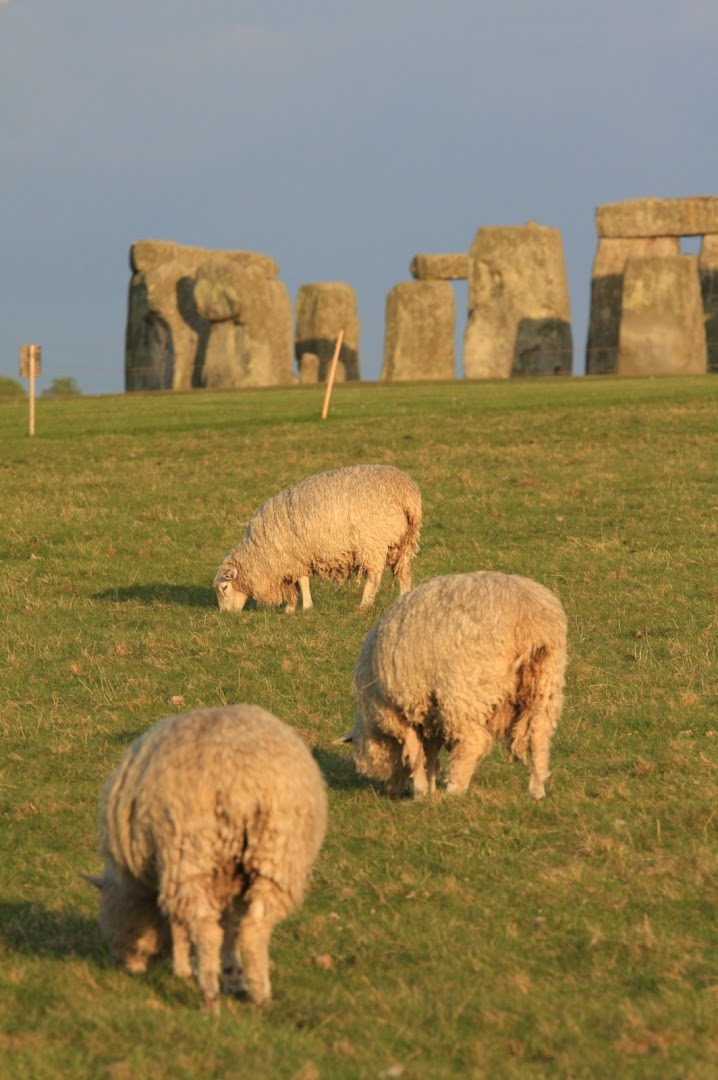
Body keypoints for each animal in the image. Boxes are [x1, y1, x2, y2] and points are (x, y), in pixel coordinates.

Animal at [84, 704, 328, 1006]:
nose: (128, 967)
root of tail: (242, 787)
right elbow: (230, 927)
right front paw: (233, 976)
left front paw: (188, 971)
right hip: (277, 857)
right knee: (254, 928)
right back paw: (260, 995)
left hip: (191, 855)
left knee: (207, 931)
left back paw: (209, 997)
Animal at [211, 464, 421, 617]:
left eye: (224, 587)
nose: (225, 614)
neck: (259, 552)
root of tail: (407, 494)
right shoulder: (299, 557)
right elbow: (300, 582)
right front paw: (299, 607)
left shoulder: (293, 557)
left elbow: (301, 581)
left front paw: (297, 607)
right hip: (403, 541)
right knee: (404, 573)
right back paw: (403, 600)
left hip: (373, 540)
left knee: (374, 577)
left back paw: (364, 604)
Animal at [345, 570, 570, 799]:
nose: (388, 792)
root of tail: (528, 619)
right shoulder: (430, 717)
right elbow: (429, 755)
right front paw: (429, 788)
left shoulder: (395, 712)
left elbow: (414, 753)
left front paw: (421, 790)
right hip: (546, 681)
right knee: (539, 734)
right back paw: (537, 790)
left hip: (464, 690)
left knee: (472, 740)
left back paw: (454, 790)